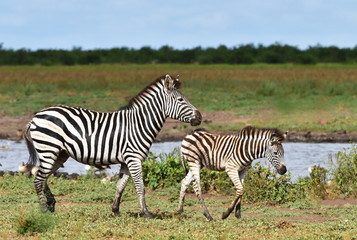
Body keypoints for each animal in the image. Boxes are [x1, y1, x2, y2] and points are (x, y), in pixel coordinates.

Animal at [23, 74, 202, 218]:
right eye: (180, 100)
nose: (199, 117)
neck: (139, 124)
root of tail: (37, 116)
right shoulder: (134, 159)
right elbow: (140, 187)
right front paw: (146, 213)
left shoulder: (126, 161)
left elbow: (120, 186)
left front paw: (115, 211)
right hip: (48, 149)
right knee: (39, 179)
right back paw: (44, 209)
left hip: (59, 153)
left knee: (43, 176)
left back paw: (51, 204)